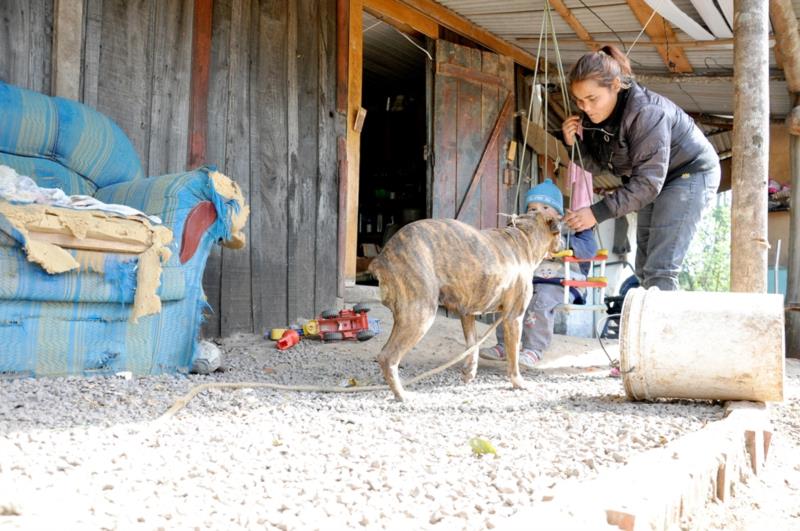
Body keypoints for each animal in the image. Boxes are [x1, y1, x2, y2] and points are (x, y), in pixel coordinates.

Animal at [370, 214, 564, 402]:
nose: (564, 243)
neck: (524, 235)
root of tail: (383, 257)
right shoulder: (513, 318)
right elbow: (513, 356)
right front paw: (518, 382)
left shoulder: (468, 313)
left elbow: (472, 344)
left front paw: (469, 371)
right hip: (420, 316)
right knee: (388, 357)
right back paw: (401, 394)